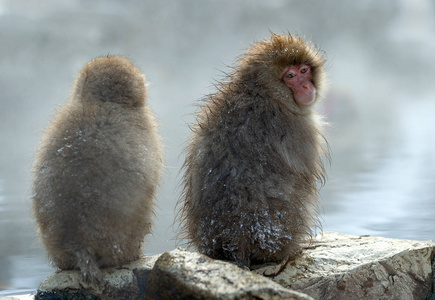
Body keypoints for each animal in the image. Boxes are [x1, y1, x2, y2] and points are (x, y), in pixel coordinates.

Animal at [179, 33, 328, 270]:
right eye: (291, 76)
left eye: (304, 70)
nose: (305, 86)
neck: (264, 91)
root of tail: (238, 241)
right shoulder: (301, 128)